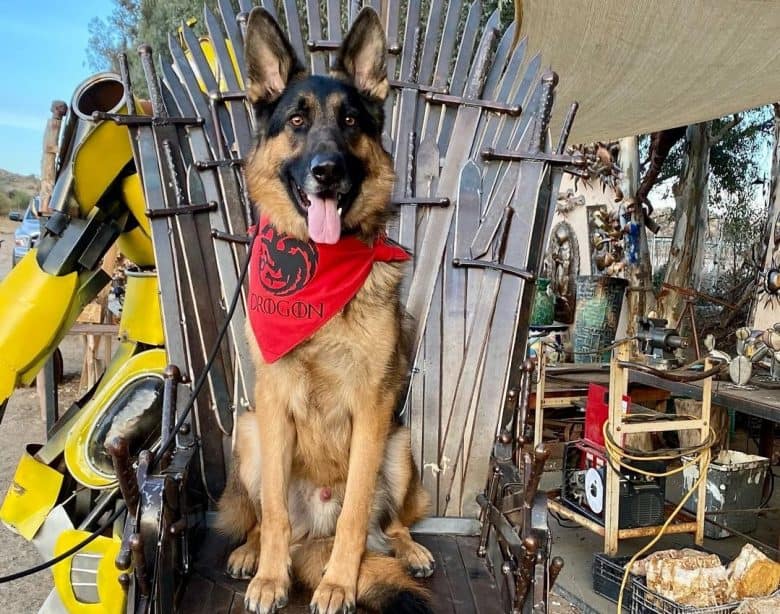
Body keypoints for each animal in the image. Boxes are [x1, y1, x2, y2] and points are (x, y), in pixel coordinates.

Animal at [219, 6, 436, 614]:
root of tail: (312, 524)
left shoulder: (373, 408)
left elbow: (358, 514)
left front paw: (340, 582)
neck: (318, 272)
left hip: (399, 445)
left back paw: (409, 549)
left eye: (351, 122)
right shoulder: (271, 404)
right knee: (267, 518)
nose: (326, 170)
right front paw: (271, 577)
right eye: (296, 120)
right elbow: (271, 510)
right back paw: (250, 553)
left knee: (391, 523)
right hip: (249, 434)